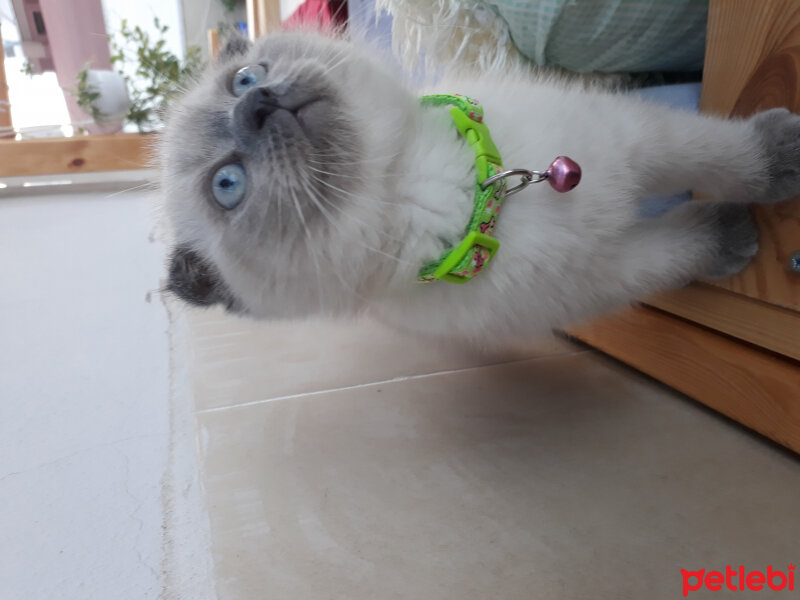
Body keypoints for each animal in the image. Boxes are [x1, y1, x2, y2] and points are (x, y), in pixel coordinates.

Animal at [159, 30, 800, 344]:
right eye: (227, 184)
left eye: (245, 79)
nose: (258, 106)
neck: (480, 193)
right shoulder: (607, 272)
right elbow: (681, 248)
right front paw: (738, 234)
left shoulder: (636, 139)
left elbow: (721, 155)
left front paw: (784, 156)